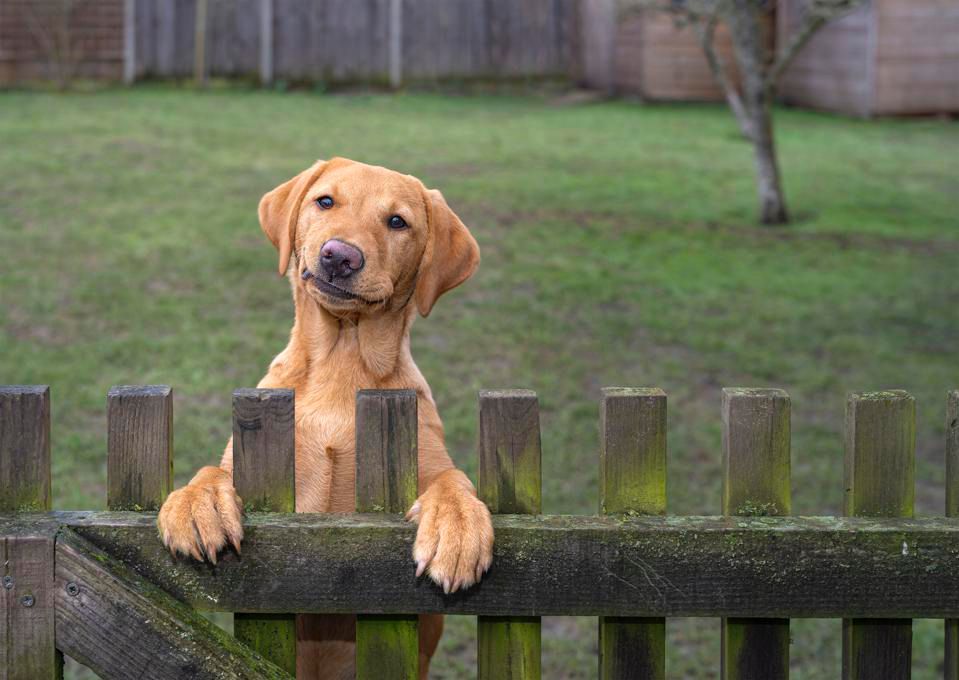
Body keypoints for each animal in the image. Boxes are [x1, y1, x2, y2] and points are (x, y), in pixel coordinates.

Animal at [157, 157, 496, 676]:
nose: (340, 256)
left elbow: (453, 480)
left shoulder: (429, 461)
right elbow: (212, 469)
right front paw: (199, 503)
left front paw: (457, 528)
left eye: (397, 222)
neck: (342, 360)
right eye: (325, 201)